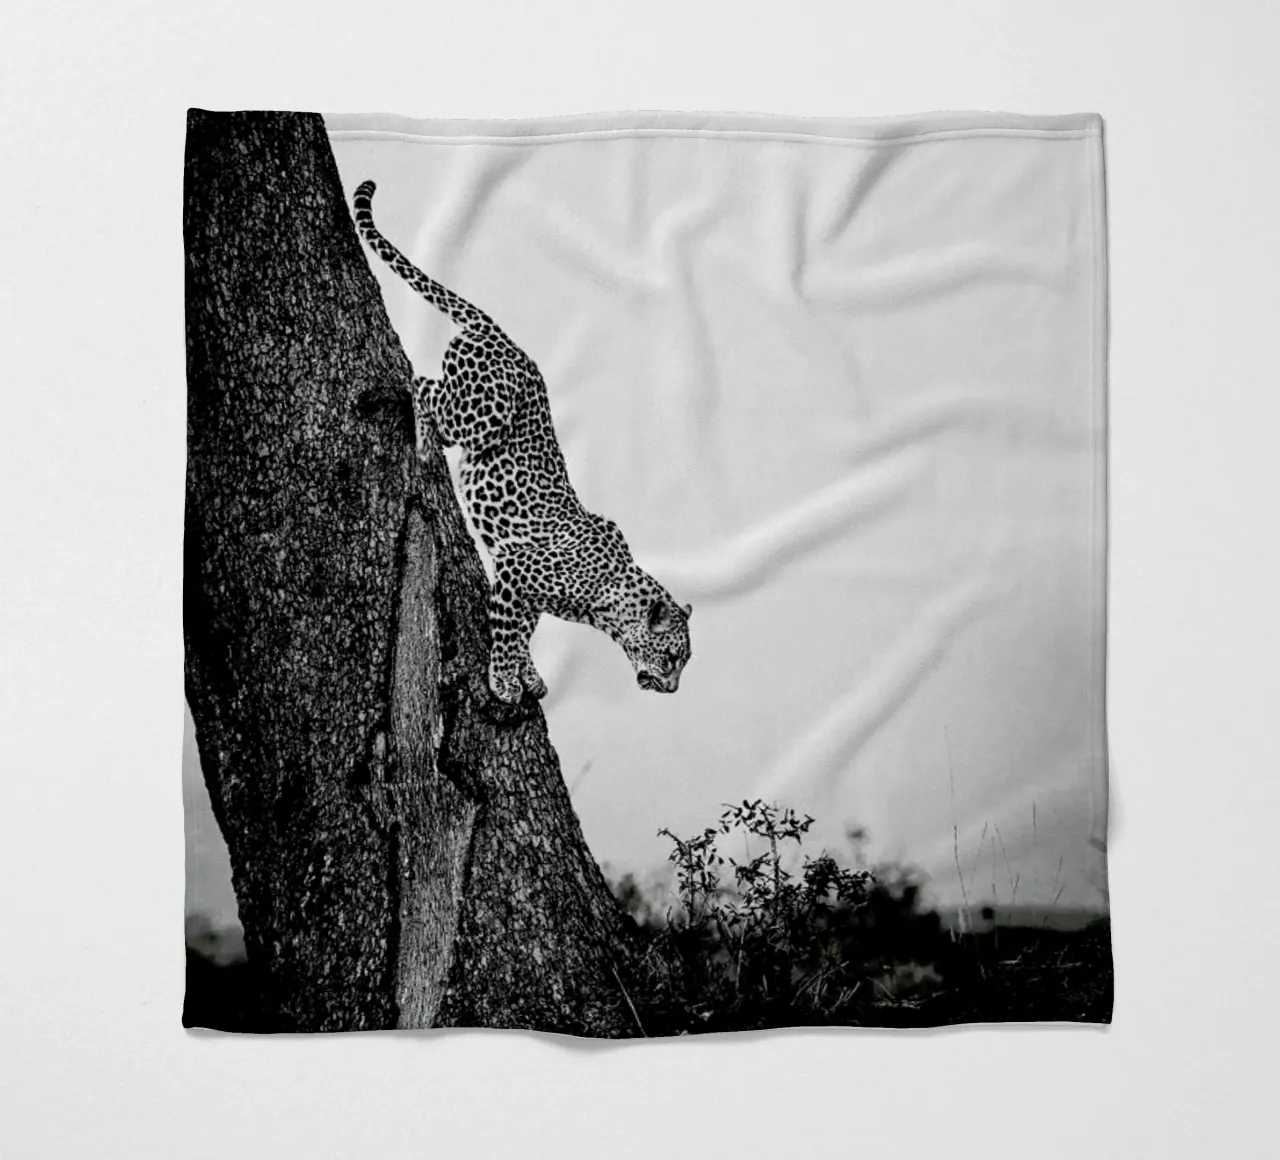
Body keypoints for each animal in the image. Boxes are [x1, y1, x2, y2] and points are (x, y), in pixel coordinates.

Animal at [353, 180, 692, 704]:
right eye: (673, 657)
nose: (673, 691)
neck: (607, 602)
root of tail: (501, 335)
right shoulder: (515, 569)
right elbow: (506, 632)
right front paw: (502, 679)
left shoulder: (524, 586)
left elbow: (523, 630)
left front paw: (526, 673)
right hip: (483, 413)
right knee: (422, 384)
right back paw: (426, 446)